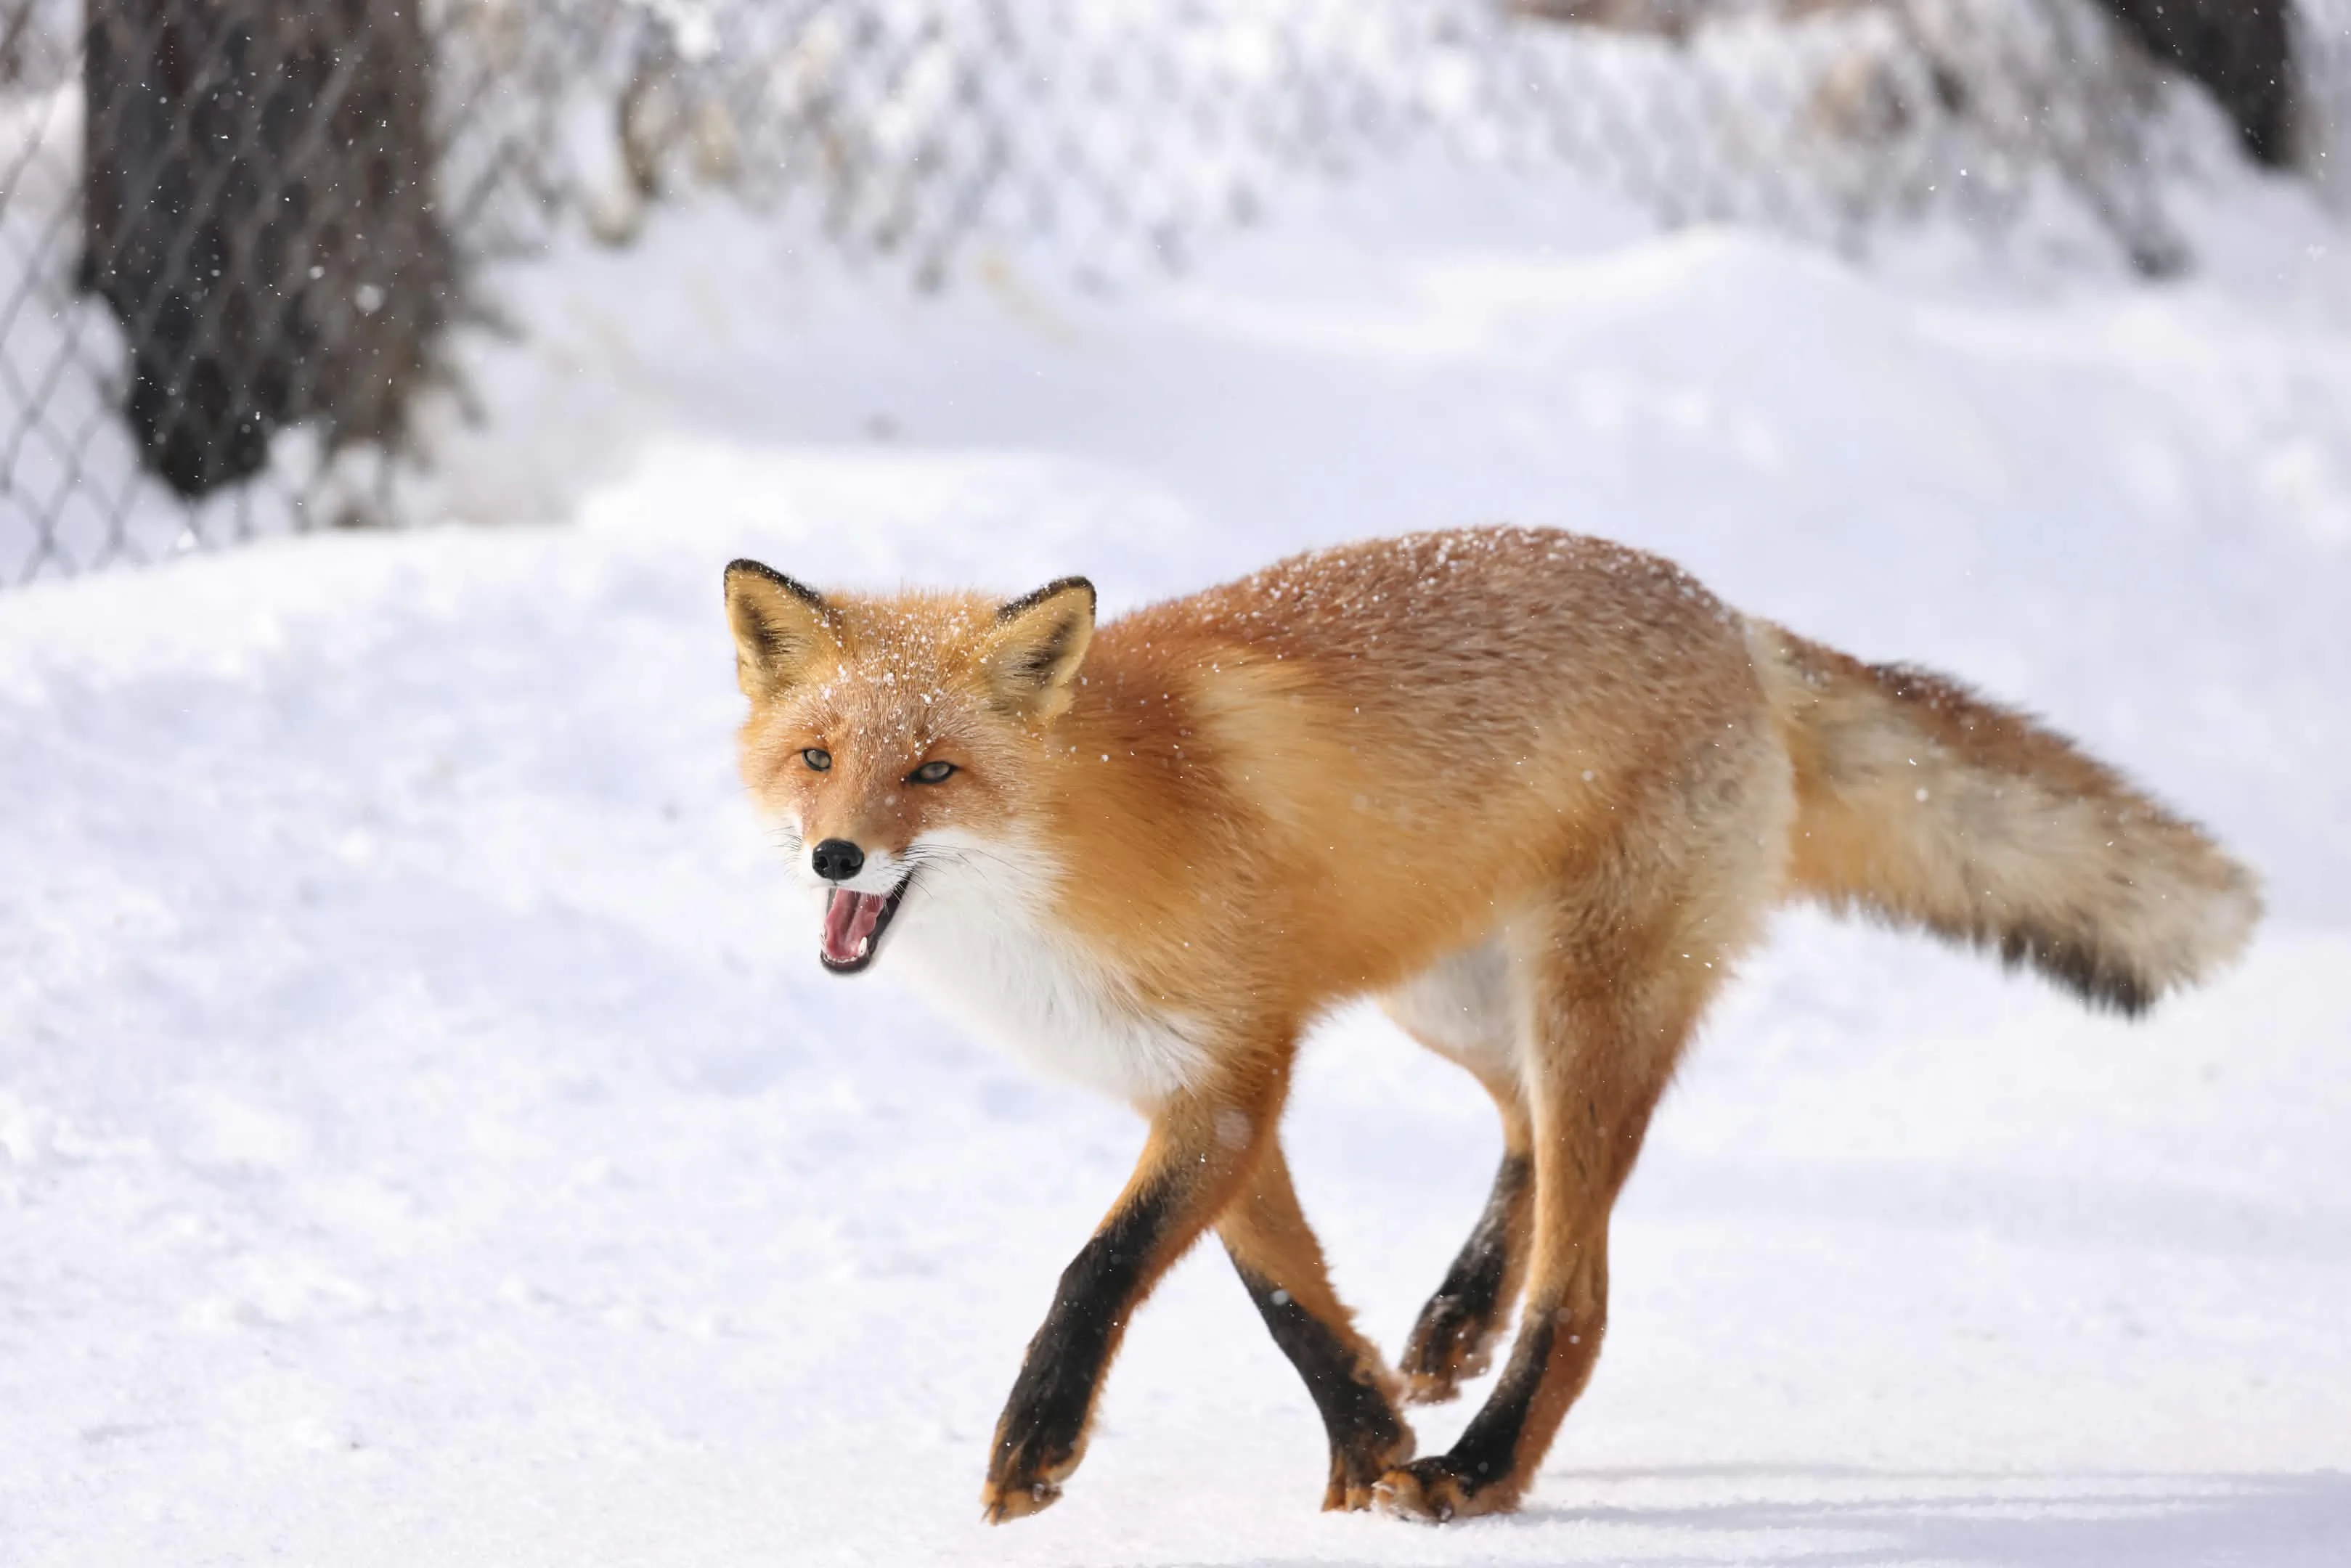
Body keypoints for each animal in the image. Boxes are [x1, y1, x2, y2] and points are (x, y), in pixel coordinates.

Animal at [721, 526, 2258, 1524]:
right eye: (818, 760)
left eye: (934, 772)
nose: (836, 857)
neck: (1076, 849)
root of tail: (1725, 615)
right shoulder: (1203, 1090)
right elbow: (1289, 1303)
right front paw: (1365, 1448)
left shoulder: (1230, 1077)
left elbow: (1097, 1269)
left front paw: (1037, 1443)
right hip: (1454, 999)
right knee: (1519, 1137)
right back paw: (1454, 1326)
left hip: (1581, 1008)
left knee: (1576, 1294)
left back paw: (1481, 1463)